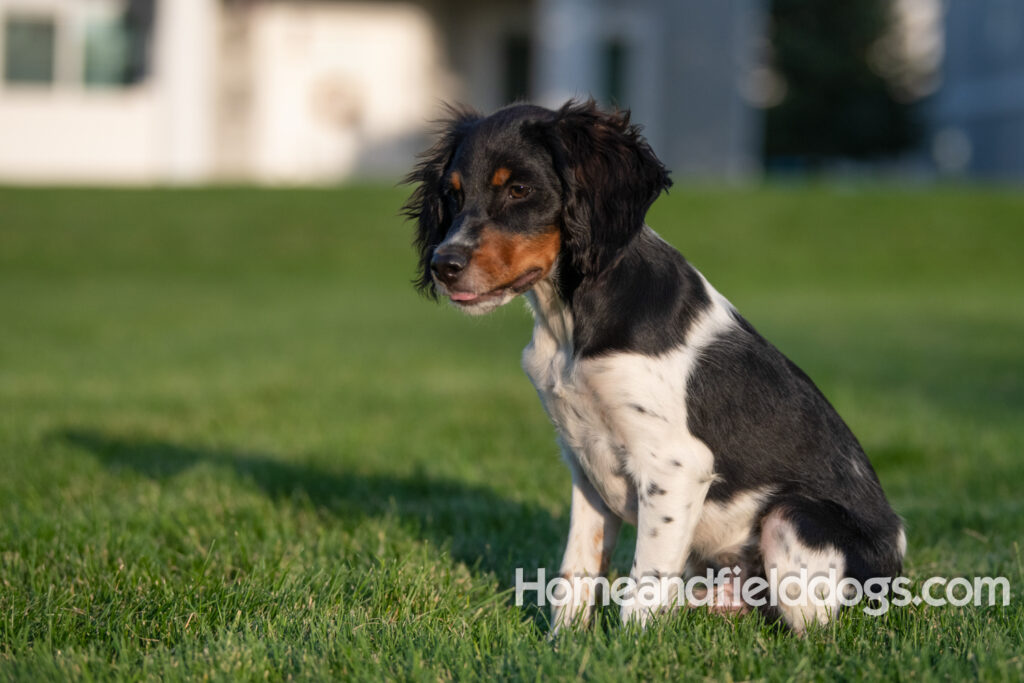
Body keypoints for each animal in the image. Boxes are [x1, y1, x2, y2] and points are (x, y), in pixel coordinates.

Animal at [401, 98, 905, 634]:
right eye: (452, 194)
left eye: (520, 190)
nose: (443, 264)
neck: (570, 325)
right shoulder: (584, 465)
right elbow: (576, 571)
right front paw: (565, 642)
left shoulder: (676, 466)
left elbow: (644, 582)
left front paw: (629, 646)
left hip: (793, 518)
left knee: (812, 625)